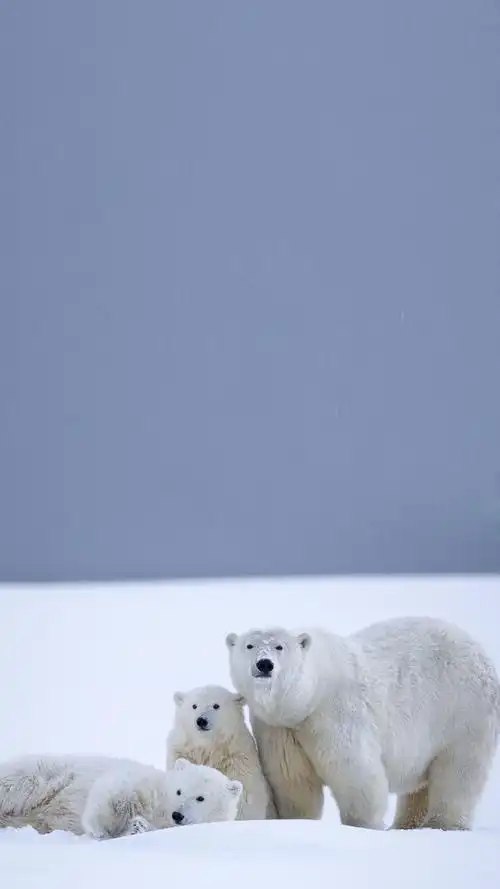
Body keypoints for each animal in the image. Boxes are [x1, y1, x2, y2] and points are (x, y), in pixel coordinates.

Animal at [0, 753, 242, 838]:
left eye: (201, 798)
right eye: (179, 790)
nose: (178, 815)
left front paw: (137, 827)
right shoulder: (141, 783)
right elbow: (113, 792)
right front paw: (100, 828)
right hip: (44, 774)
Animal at [166, 684, 275, 820]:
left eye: (216, 705)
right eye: (194, 706)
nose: (201, 720)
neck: (209, 748)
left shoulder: (238, 759)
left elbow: (246, 796)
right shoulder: (182, 752)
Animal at [226, 616, 500, 831]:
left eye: (279, 646)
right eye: (249, 645)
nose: (264, 664)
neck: (309, 696)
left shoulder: (335, 713)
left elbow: (355, 773)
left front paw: (363, 826)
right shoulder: (279, 728)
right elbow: (294, 781)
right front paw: (297, 821)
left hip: (462, 712)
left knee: (459, 771)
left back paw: (442, 824)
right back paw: (405, 825)